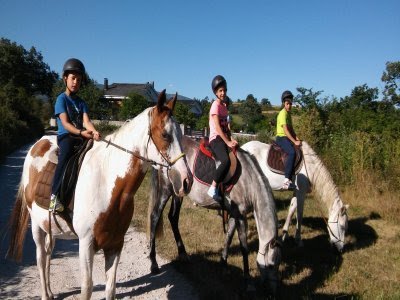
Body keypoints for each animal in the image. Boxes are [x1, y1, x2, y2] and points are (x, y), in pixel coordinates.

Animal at [6, 91, 193, 300]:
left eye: (181, 135)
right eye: (165, 135)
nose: (186, 181)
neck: (107, 184)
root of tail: (39, 144)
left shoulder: (115, 244)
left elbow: (110, 288)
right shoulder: (86, 244)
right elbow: (87, 288)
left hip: (50, 227)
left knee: (48, 254)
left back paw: (50, 291)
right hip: (37, 226)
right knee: (40, 258)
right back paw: (45, 294)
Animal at [147, 137, 282, 294]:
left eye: (278, 265)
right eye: (271, 265)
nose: (274, 291)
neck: (249, 180)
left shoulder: (233, 214)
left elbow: (228, 237)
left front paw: (223, 265)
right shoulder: (241, 216)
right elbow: (244, 248)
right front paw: (248, 282)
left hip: (178, 193)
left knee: (173, 218)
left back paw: (183, 254)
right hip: (166, 190)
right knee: (155, 216)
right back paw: (154, 263)